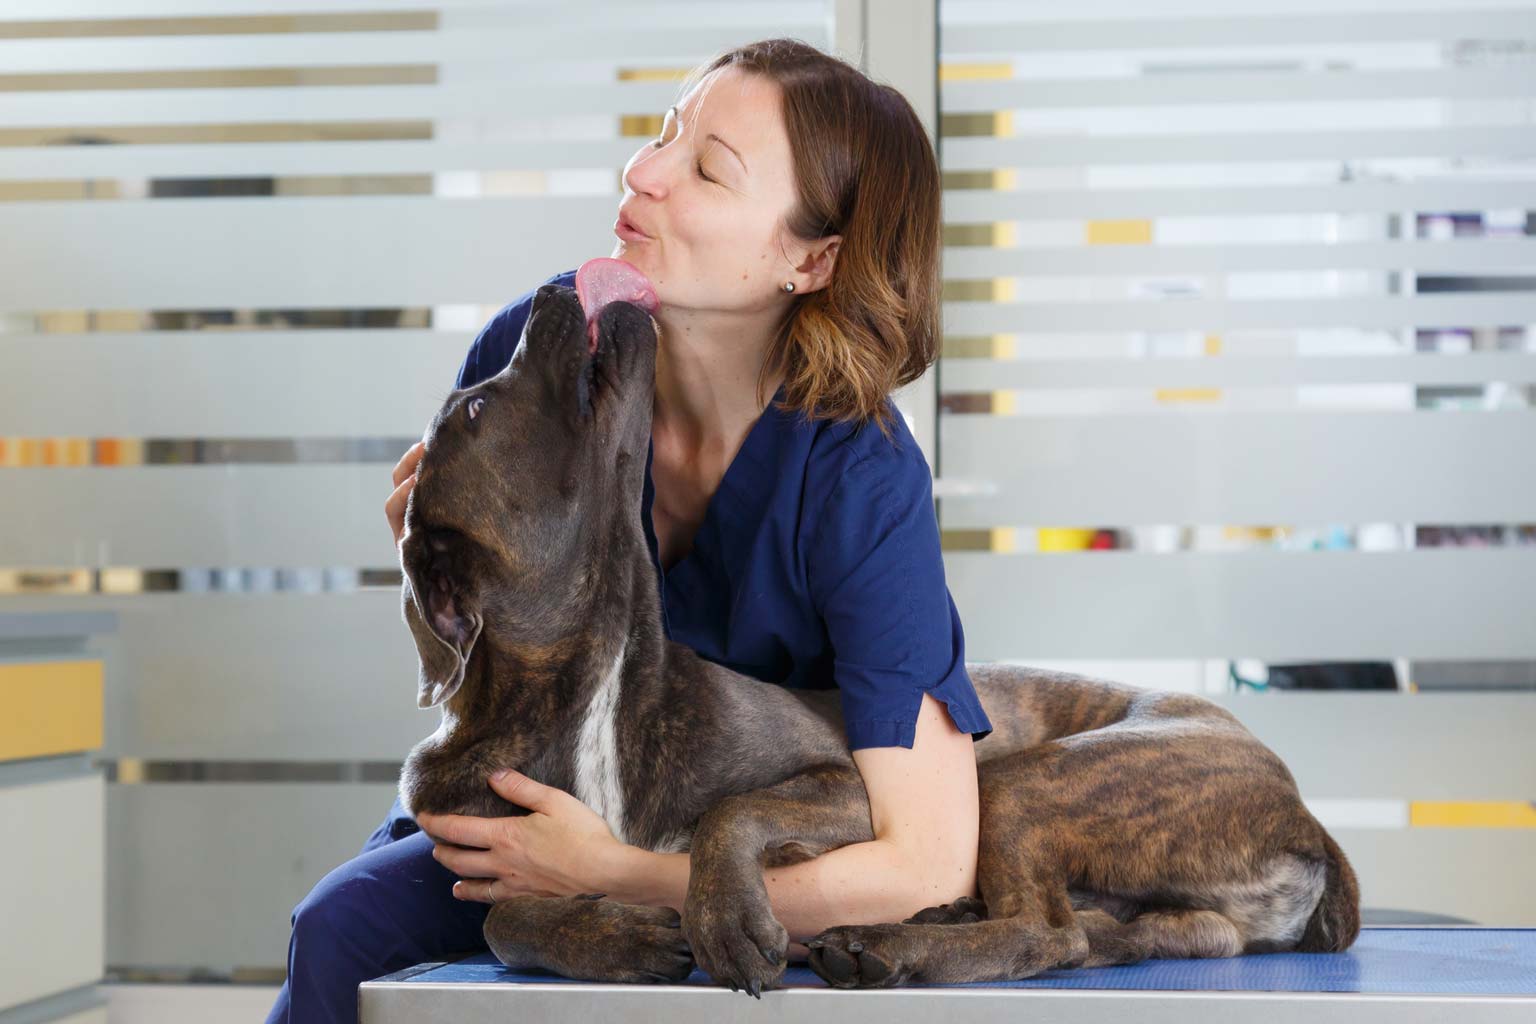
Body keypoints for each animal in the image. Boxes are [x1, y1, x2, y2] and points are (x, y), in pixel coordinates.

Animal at [396, 280, 1357, 994]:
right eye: (476, 411)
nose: (550, 294)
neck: (590, 683)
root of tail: (1307, 819)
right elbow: (500, 918)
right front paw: (616, 937)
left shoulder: (848, 785)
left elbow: (733, 812)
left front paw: (723, 918)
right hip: (1163, 899)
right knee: (1104, 935)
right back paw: (932, 925)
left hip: (1020, 781)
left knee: (1048, 934)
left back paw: (900, 945)